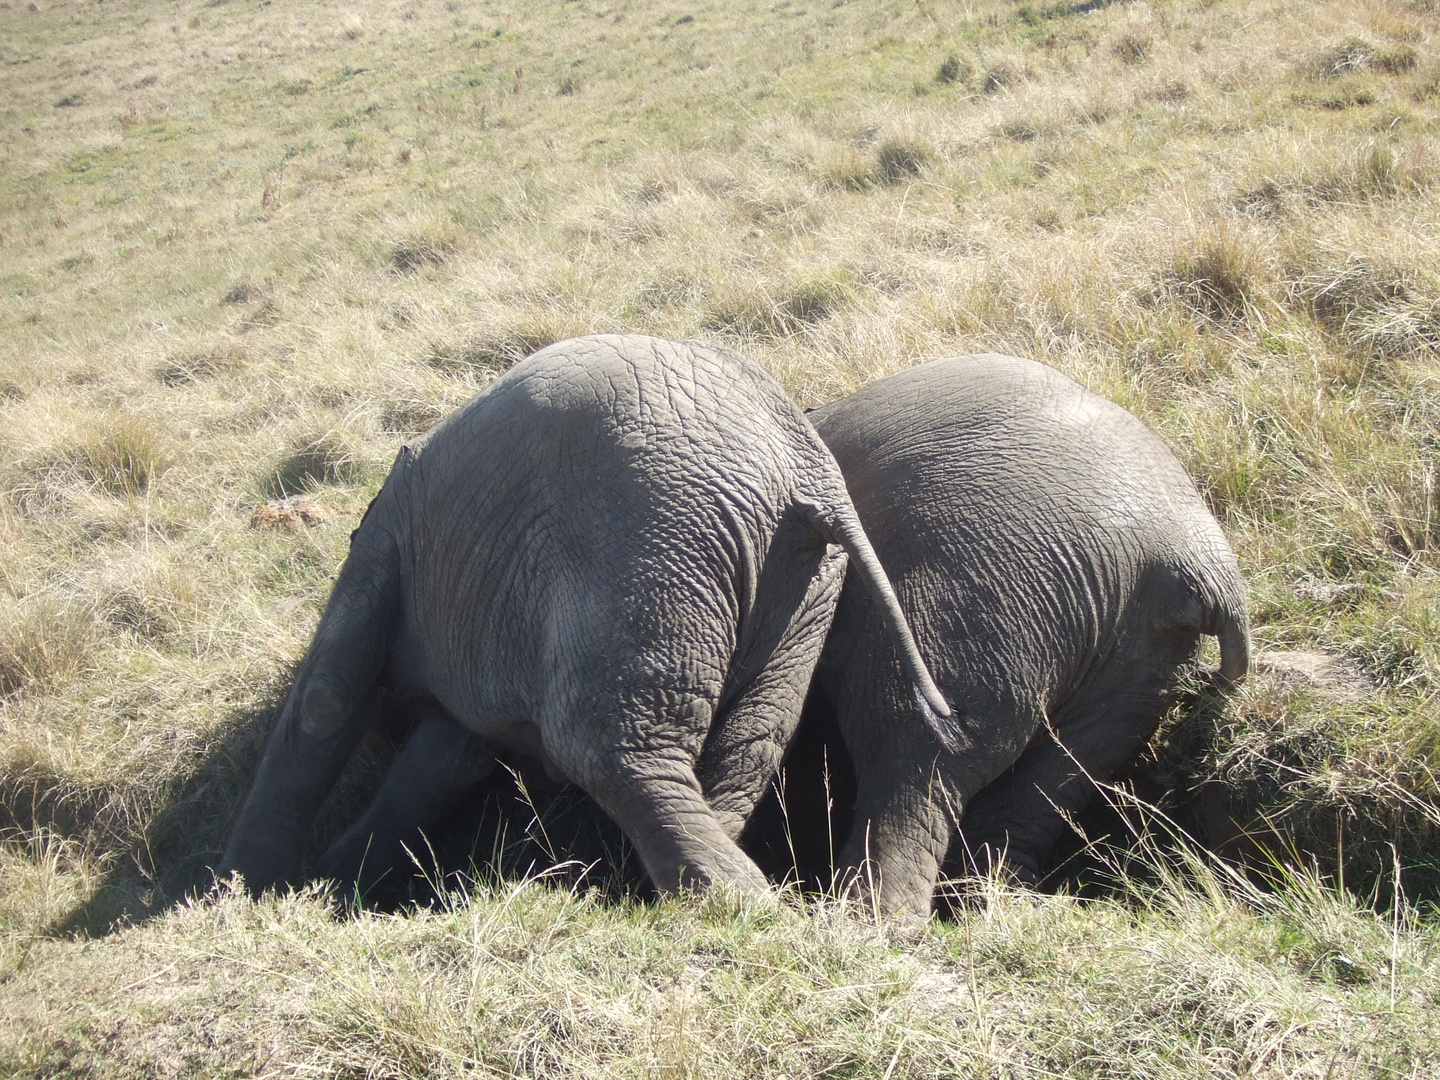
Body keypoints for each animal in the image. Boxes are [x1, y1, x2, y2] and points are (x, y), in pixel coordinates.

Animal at [218, 334, 950, 898]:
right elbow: (448, 753)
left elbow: (327, 698)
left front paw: (247, 890)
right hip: (802, 588)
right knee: (750, 742)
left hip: (649, 536)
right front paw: (335, 877)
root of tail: (811, 481)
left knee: (603, 741)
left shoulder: (383, 550)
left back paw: (731, 900)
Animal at [800, 352, 1249, 921]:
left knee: (907, 744)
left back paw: (873, 920)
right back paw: (997, 904)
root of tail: (1199, 562)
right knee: (1061, 772)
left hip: (983, 592)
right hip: (1134, 655)